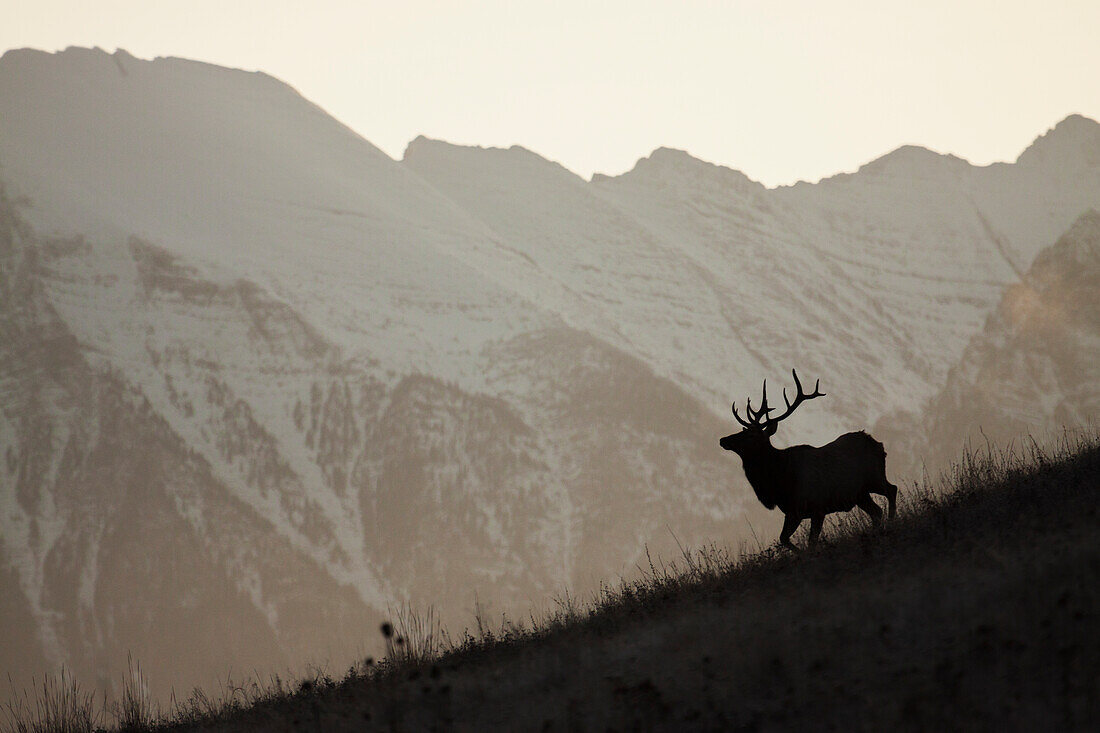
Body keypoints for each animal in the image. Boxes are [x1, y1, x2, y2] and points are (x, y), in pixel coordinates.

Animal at [721, 372, 893, 548]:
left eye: (751, 435)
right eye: (743, 430)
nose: (723, 440)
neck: (778, 482)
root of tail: (877, 444)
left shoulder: (817, 507)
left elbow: (810, 542)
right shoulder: (793, 511)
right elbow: (784, 538)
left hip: (874, 477)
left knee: (892, 491)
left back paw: (889, 524)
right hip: (860, 493)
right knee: (877, 511)